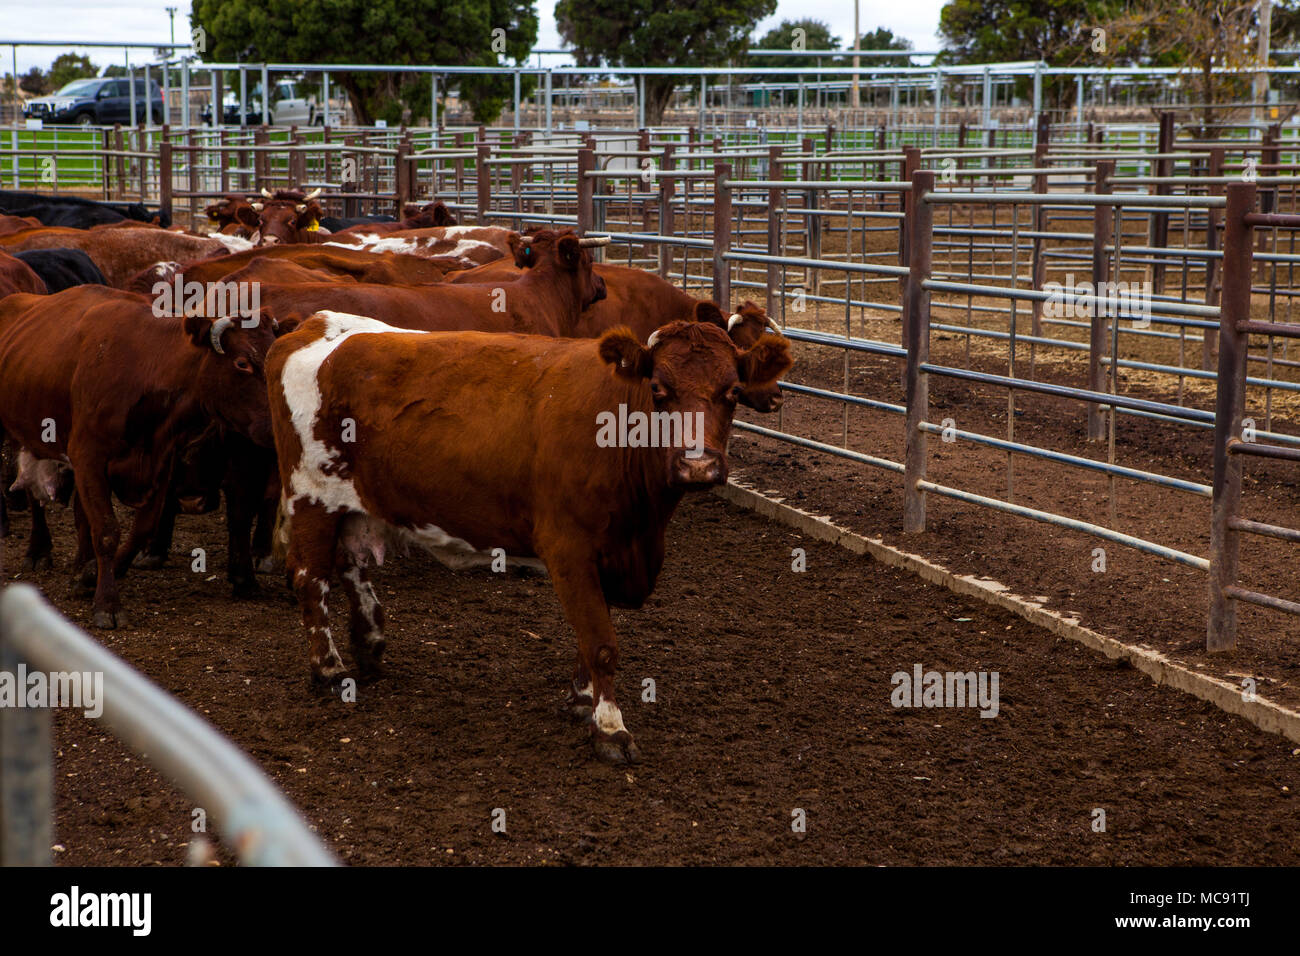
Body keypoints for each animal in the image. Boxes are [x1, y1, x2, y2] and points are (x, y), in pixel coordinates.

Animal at [0, 286, 292, 626]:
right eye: (242, 363)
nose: (281, 423)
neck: (144, 366)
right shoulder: (88, 455)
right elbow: (107, 531)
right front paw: (107, 603)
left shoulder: (161, 460)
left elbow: (142, 527)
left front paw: (90, 576)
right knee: (35, 497)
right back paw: (38, 551)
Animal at [267, 311, 793, 763]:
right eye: (660, 389)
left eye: (732, 391)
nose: (697, 465)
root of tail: (313, 325)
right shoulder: (569, 547)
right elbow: (601, 642)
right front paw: (610, 728)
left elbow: (589, 635)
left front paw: (581, 699)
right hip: (311, 495)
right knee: (311, 578)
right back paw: (329, 669)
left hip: (352, 502)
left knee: (351, 565)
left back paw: (371, 643)